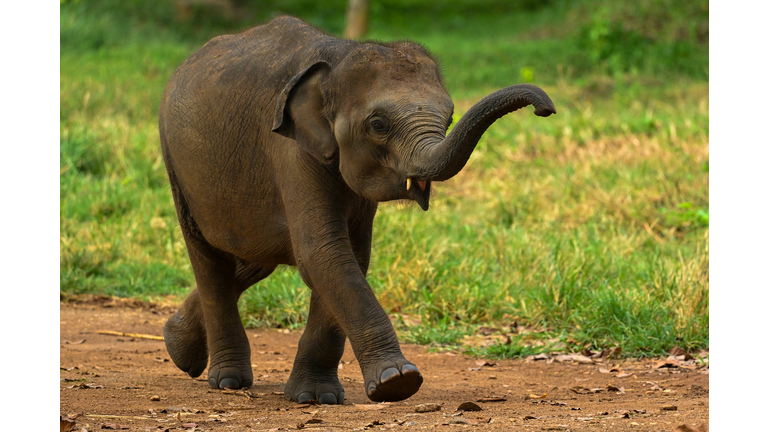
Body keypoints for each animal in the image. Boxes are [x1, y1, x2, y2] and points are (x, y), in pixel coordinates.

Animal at [158, 15, 555, 405]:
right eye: (378, 125)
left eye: (450, 116)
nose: (546, 109)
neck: (336, 60)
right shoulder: (292, 152)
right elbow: (324, 253)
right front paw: (398, 382)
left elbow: (351, 256)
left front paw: (316, 397)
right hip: (177, 166)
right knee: (210, 259)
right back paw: (227, 381)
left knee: (254, 258)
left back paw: (177, 346)